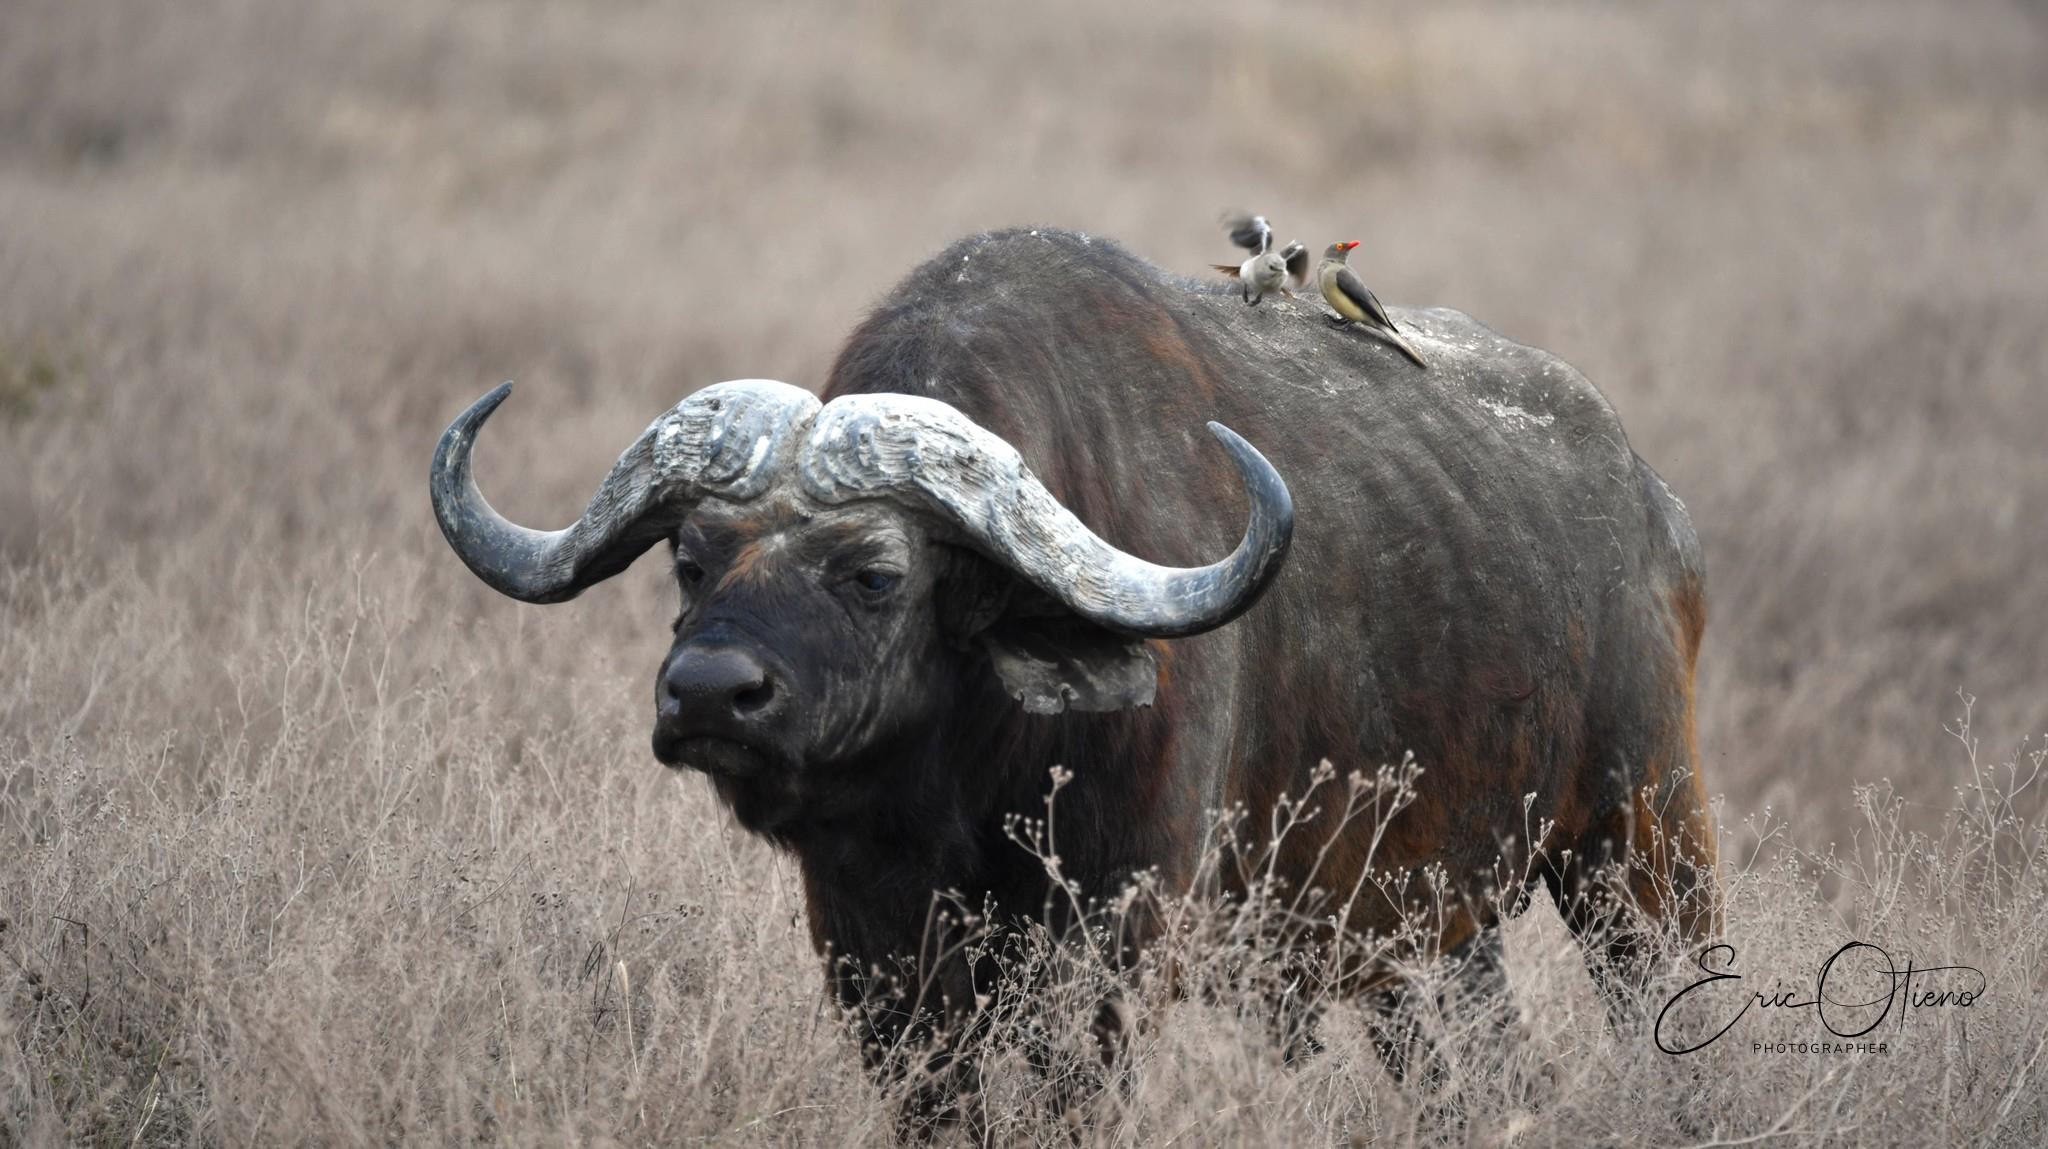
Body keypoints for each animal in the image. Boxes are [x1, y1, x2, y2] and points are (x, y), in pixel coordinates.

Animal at [430, 227, 1716, 1126]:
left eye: (875, 573)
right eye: (689, 560)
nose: (706, 694)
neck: (962, 773)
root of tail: (1651, 503)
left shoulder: (1111, 943)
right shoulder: (868, 948)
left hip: (1644, 844)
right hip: (1419, 932)